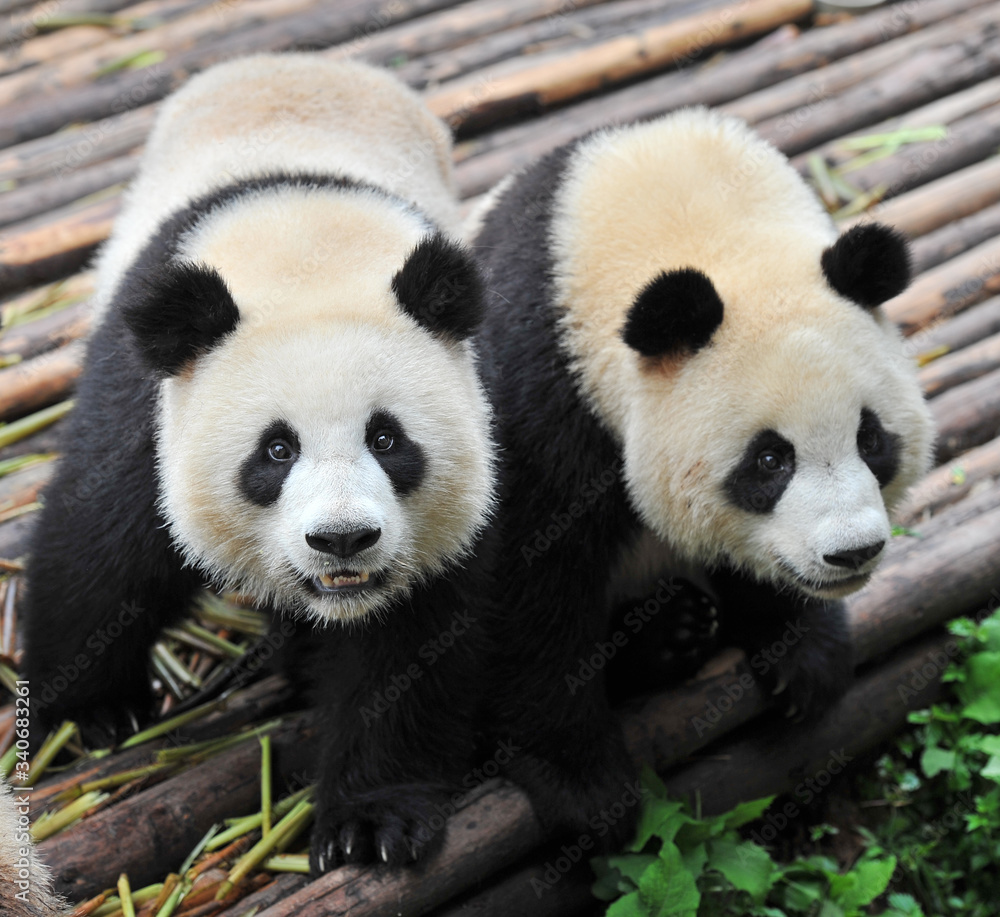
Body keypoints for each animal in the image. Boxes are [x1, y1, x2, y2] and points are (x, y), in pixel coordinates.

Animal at [23, 55, 495, 875]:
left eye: (387, 439)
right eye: (277, 450)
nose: (343, 540)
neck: (308, 248)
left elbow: (411, 641)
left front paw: (369, 821)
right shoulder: (147, 394)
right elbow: (101, 542)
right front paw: (92, 708)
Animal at [470, 107, 934, 849]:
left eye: (871, 438)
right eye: (769, 460)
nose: (852, 553)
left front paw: (805, 660)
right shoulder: (534, 384)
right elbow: (525, 581)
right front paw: (585, 790)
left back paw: (676, 630)